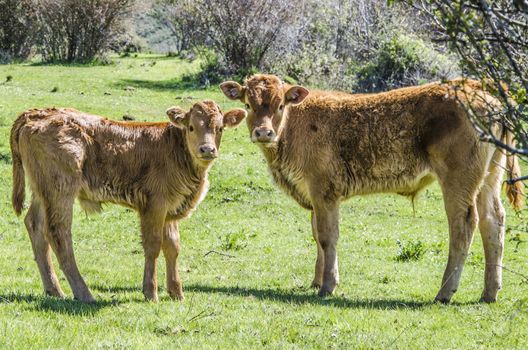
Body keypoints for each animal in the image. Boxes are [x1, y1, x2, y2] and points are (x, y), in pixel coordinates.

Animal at [10, 102, 245, 304]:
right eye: (191, 127)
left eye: (220, 128)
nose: (207, 149)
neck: (175, 150)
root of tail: (35, 114)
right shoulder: (154, 205)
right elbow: (153, 245)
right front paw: (151, 292)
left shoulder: (171, 207)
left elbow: (173, 246)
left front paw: (176, 292)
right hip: (61, 189)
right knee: (58, 232)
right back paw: (84, 293)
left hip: (42, 191)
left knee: (35, 225)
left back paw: (54, 290)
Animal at [220, 74, 524, 304]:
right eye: (248, 103)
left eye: (281, 104)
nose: (263, 132)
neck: (296, 126)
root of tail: (479, 86)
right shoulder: (315, 197)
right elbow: (316, 236)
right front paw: (316, 280)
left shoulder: (324, 192)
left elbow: (327, 237)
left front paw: (327, 286)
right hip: (488, 178)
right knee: (493, 222)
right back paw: (489, 292)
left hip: (458, 181)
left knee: (463, 226)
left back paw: (444, 292)